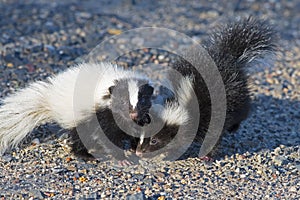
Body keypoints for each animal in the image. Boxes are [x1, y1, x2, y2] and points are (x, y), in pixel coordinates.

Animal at [135, 17, 278, 159]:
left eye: (154, 140)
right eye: (142, 136)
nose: (138, 152)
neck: (181, 103)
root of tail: (227, 55)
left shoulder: (210, 115)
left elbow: (212, 136)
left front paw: (206, 156)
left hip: (235, 95)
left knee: (243, 111)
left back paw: (234, 127)